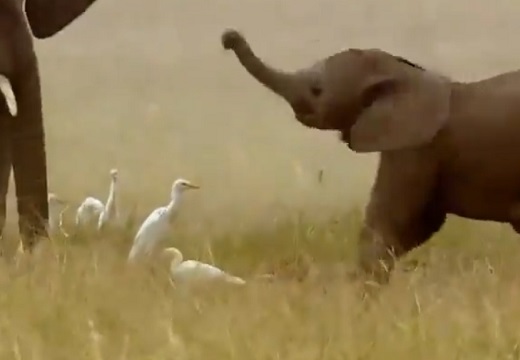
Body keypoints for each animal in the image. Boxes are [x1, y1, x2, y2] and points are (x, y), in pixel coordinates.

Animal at [223, 28, 520, 284]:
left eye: (317, 89)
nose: (228, 37)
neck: (403, 73)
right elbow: (416, 227)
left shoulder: (415, 148)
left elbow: (388, 224)